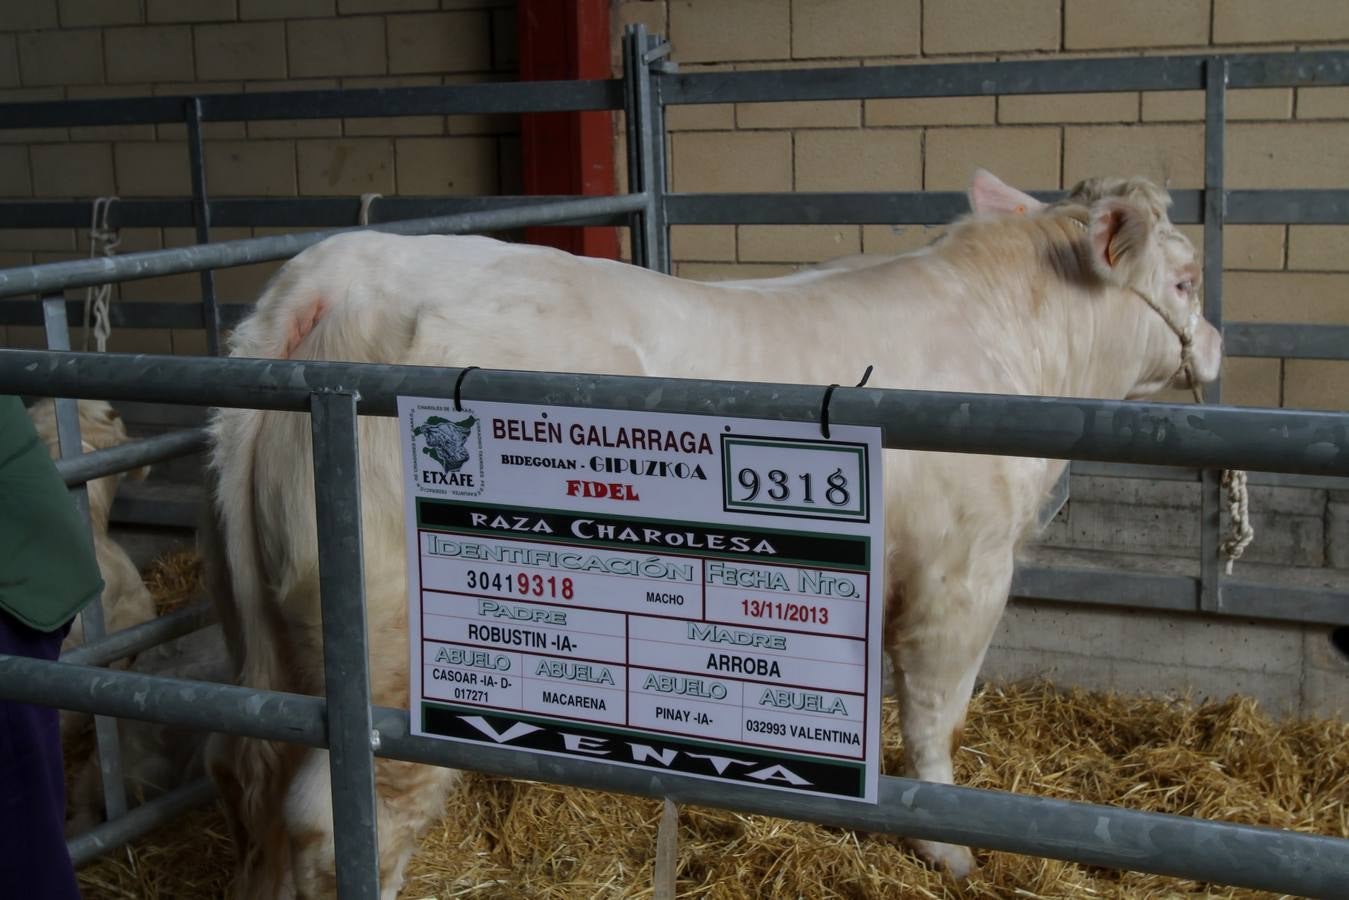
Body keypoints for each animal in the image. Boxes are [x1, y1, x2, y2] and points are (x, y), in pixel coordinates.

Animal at [207, 168, 1224, 895]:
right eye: (1183, 279)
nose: (1215, 344)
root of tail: (340, 274)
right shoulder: (962, 571)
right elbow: (938, 712)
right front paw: (948, 847)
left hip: (274, 646)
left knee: (259, 794)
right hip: (390, 651)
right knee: (338, 824)